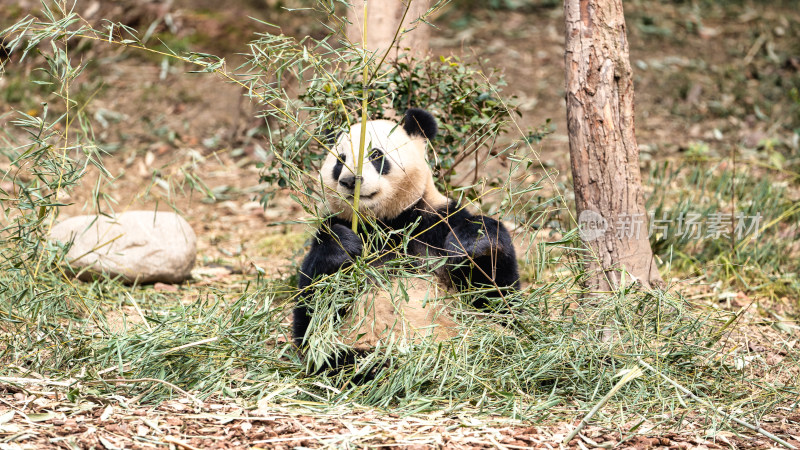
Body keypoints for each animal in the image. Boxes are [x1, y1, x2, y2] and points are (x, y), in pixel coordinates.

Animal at [292, 108, 520, 372]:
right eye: (340, 160)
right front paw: (343, 247)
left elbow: (500, 301)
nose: (349, 181)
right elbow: (309, 320)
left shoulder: (433, 221)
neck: (388, 224)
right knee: (345, 362)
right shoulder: (337, 226)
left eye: (375, 154)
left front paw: (473, 244)